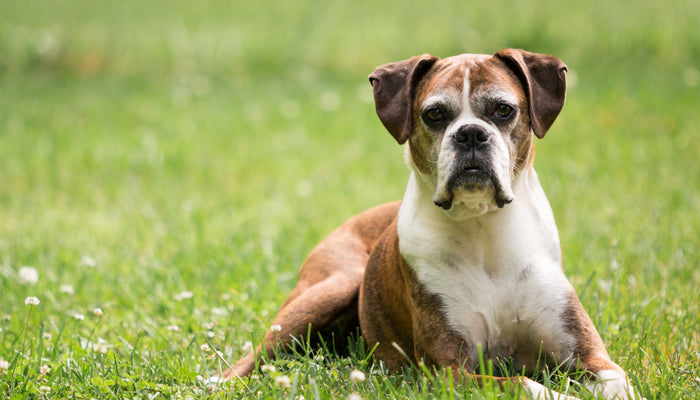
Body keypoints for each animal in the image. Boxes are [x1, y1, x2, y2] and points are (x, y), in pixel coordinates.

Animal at [227, 50, 644, 400]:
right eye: (435, 115)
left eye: (503, 110)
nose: (471, 133)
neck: (484, 232)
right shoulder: (449, 371)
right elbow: (524, 383)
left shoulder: (590, 356)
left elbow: (616, 383)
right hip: (332, 289)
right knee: (250, 360)